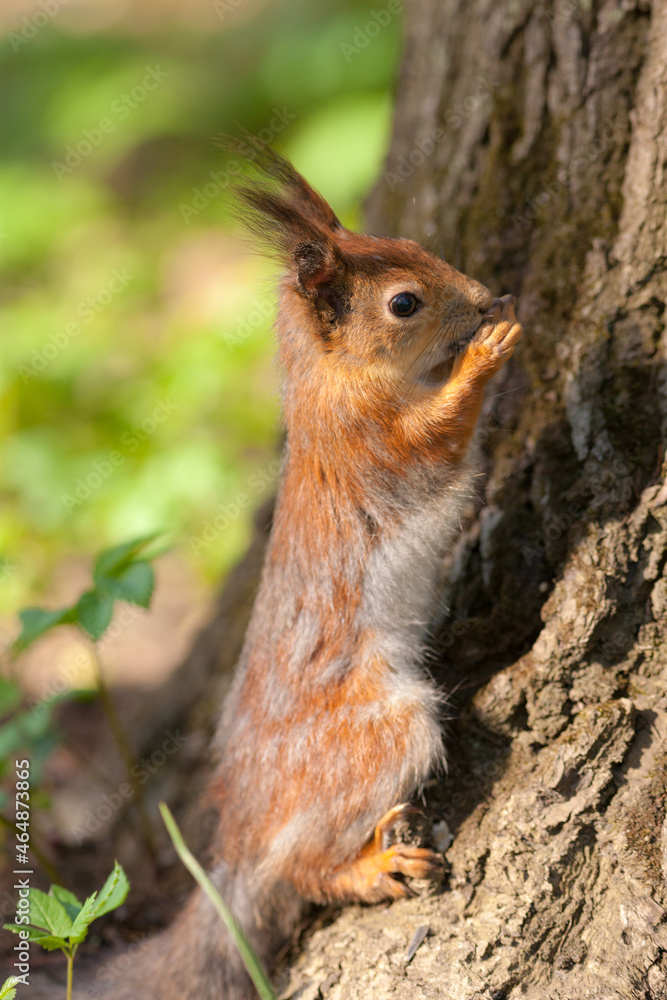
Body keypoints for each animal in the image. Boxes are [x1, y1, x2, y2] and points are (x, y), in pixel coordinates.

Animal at [104, 140, 522, 1000]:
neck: (332, 376)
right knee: (299, 866)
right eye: (404, 303)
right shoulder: (371, 439)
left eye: (414, 243)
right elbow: (438, 434)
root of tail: (241, 838)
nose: (479, 295)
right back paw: (370, 868)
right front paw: (485, 353)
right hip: (372, 735)